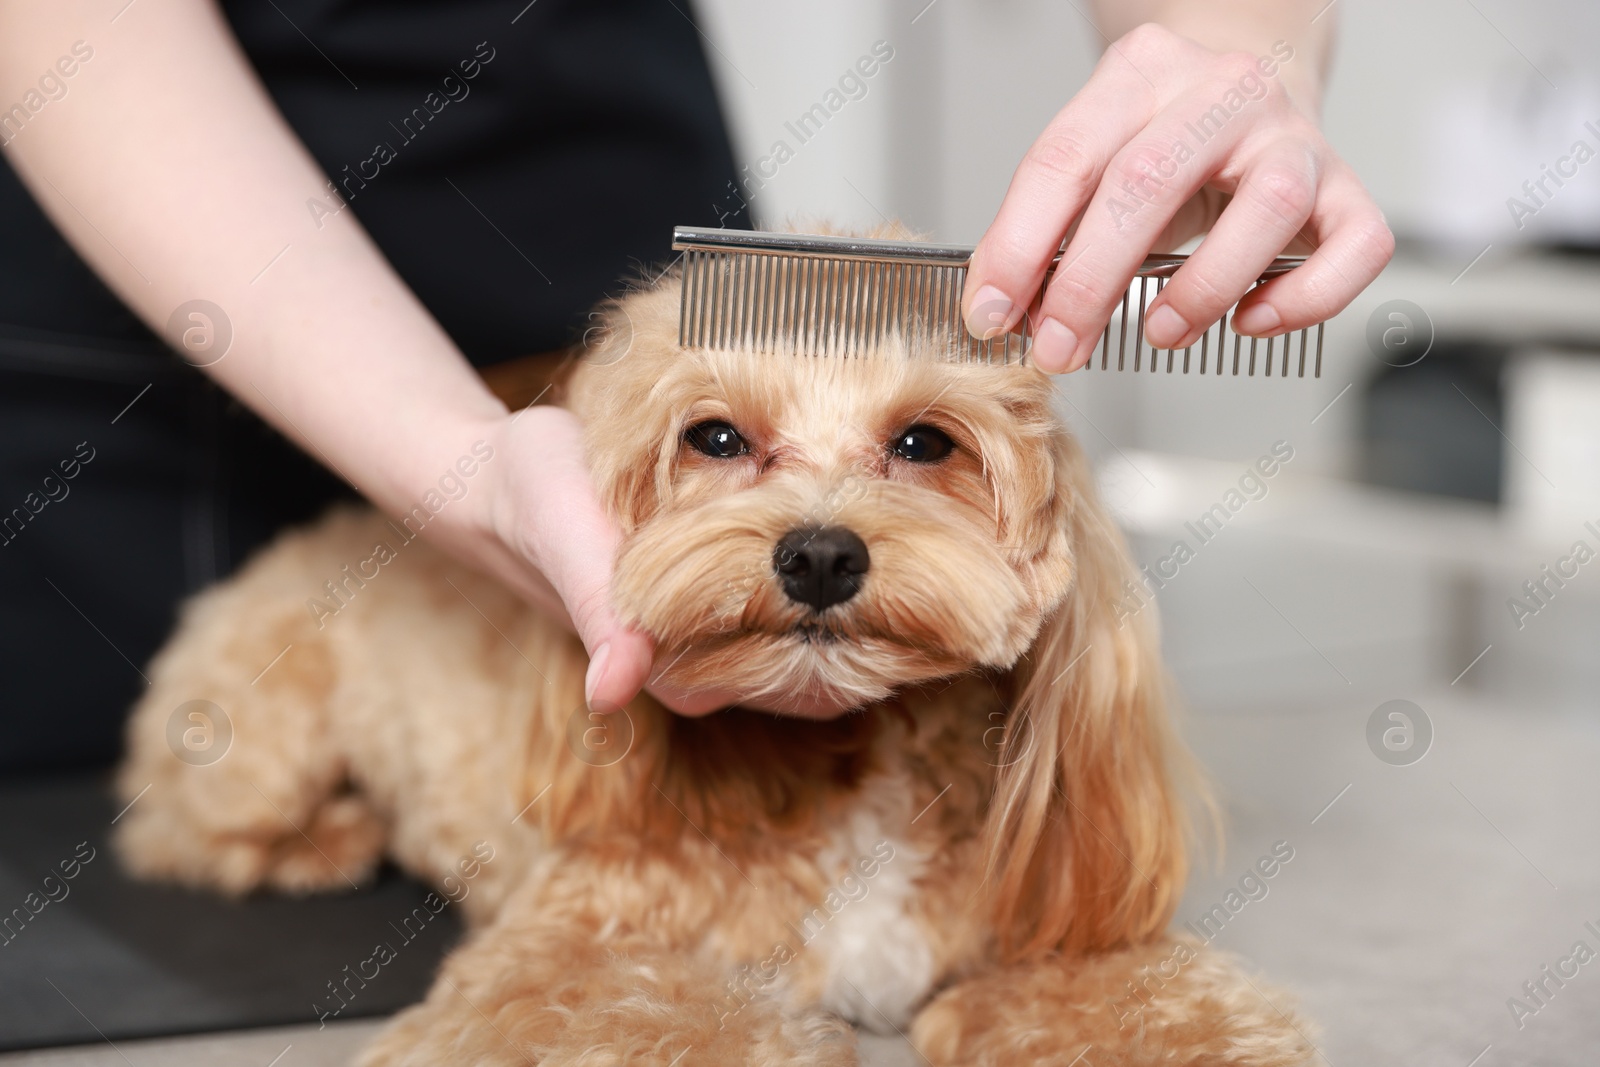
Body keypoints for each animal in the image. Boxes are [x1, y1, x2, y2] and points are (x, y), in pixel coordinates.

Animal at [109, 254, 1312, 1062]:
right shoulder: (563, 956)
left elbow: (1165, 1010)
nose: (819, 551)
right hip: (259, 735)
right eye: (716, 437)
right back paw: (324, 838)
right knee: (173, 832)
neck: (858, 777)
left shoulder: (1054, 942)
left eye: (925, 441)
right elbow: (673, 1011)